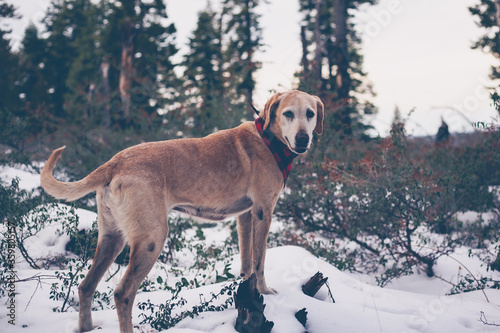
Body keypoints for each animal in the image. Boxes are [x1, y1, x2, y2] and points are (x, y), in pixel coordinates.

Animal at [41, 89, 326, 330]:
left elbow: (247, 260)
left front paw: (246, 289)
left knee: (85, 286)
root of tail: (114, 162)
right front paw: (264, 291)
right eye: (288, 113)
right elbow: (260, 261)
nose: (303, 138)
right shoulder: (263, 211)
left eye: (310, 114)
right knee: (123, 294)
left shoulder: (245, 216)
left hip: (111, 238)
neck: (269, 141)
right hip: (151, 239)